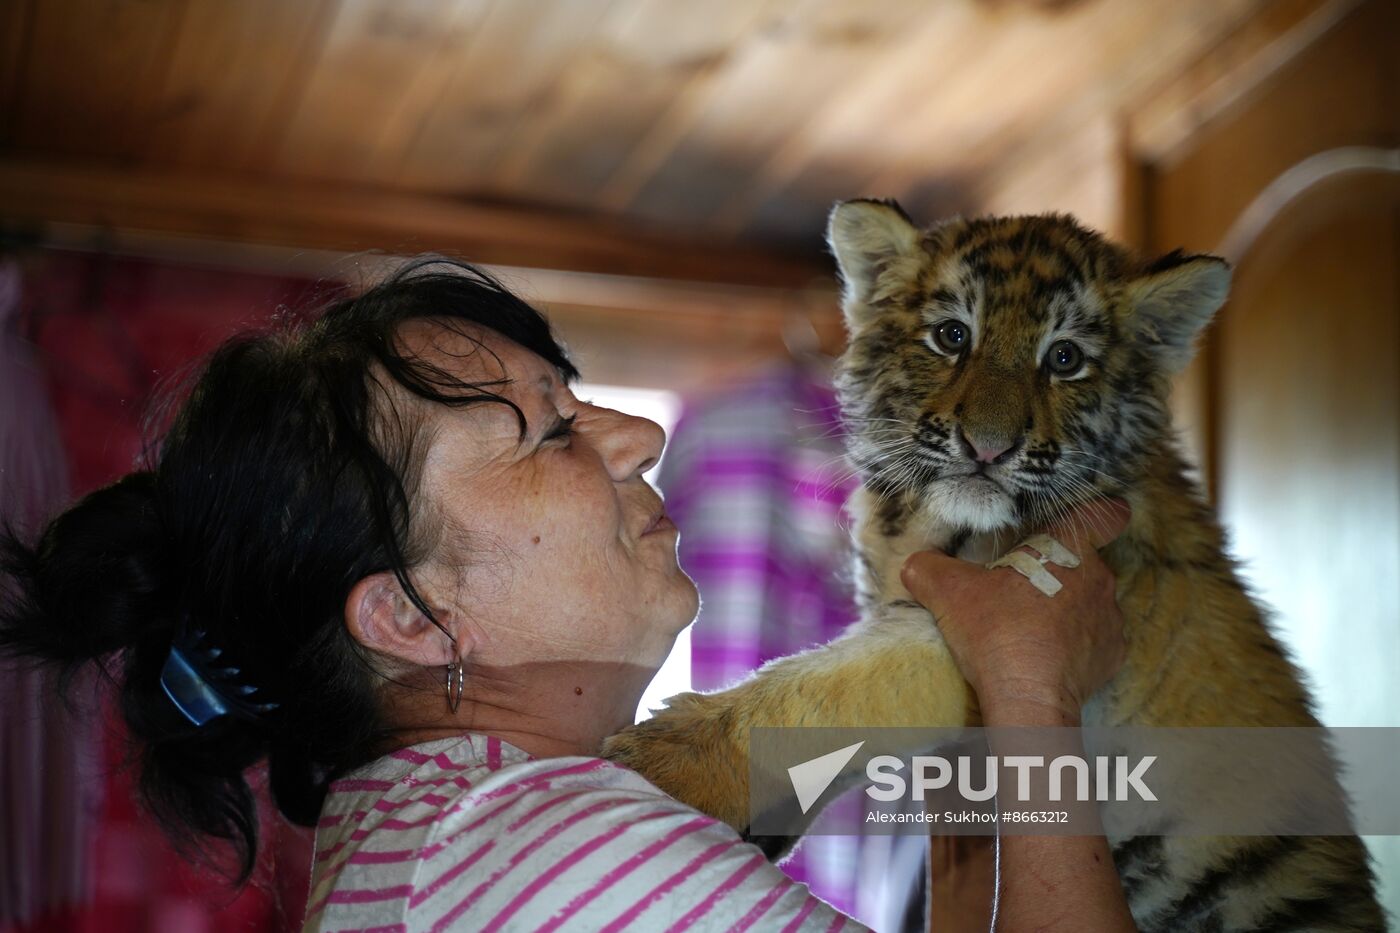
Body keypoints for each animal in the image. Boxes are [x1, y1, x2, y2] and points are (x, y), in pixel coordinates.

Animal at [604, 199, 1387, 931]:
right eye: (953, 336)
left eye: (1065, 358)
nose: (988, 447)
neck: (922, 521)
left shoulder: (981, 618)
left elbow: (826, 684)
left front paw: (662, 756)